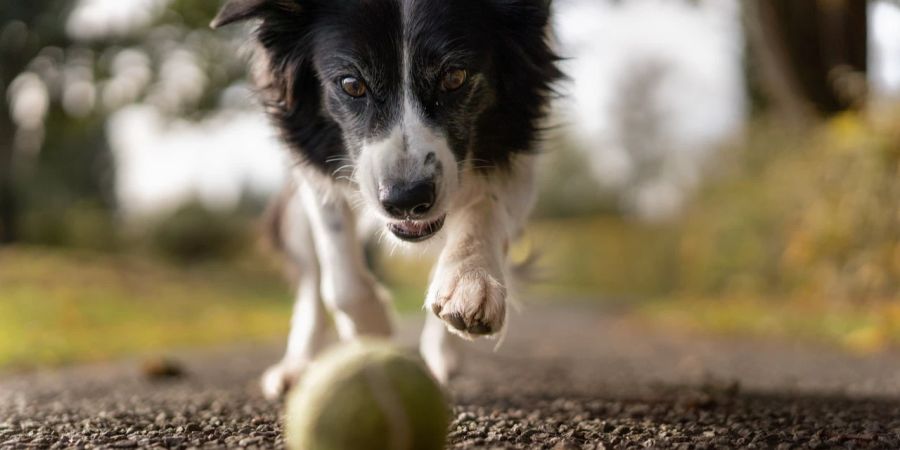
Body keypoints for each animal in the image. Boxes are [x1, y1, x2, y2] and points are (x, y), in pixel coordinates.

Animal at [213, 0, 564, 398]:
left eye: (454, 77)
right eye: (352, 84)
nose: (406, 200)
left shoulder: (519, 145)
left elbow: (485, 206)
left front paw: (469, 282)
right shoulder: (314, 165)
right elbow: (340, 278)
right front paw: (374, 333)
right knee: (311, 281)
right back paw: (296, 367)